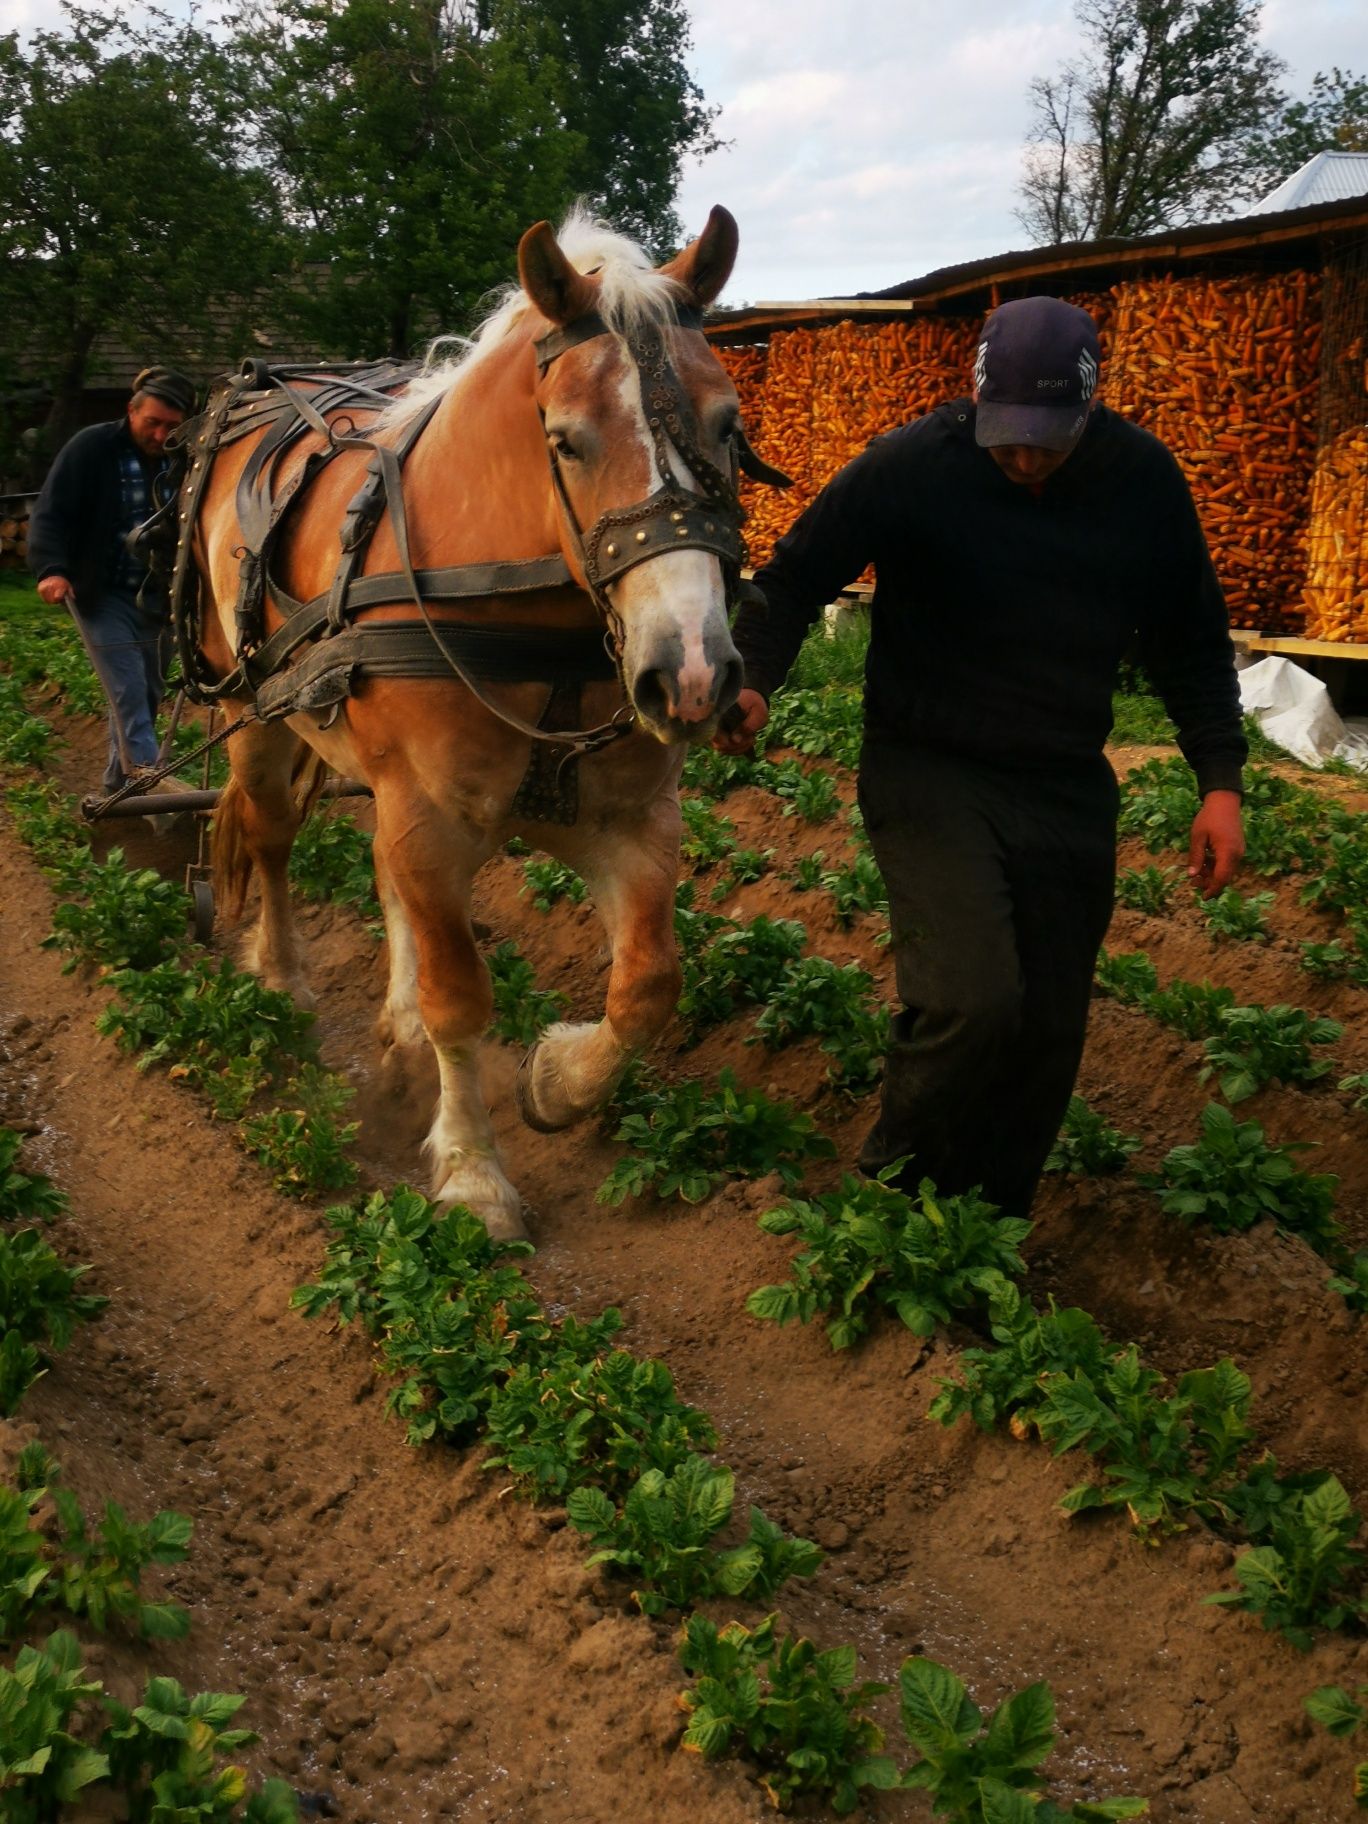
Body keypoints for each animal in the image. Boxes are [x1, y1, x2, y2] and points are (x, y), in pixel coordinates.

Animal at [179, 209, 773, 1240]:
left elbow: (647, 985)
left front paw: (556, 1079)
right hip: (251, 715)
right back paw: (282, 977)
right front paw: (471, 1173)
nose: (694, 675)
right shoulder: (428, 818)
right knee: (272, 837)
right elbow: (462, 996)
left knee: (379, 878)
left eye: (728, 426)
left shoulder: (632, 824)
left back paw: (396, 1025)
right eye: (567, 441)